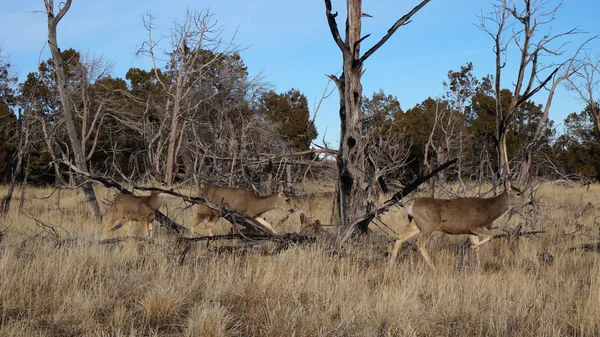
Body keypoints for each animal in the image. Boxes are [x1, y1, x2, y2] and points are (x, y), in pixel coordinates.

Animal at [390, 182, 536, 270]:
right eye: (518, 193)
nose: (530, 201)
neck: (490, 209)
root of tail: (412, 206)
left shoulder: (471, 231)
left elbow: (479, 246)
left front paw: (478, 267)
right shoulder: (474, 225)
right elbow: (492, 236)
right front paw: (473, 248)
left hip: (416, 224)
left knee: (399, 237)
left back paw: (390, 265)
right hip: (428, 225)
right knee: (419, 243)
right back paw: (434, 267)